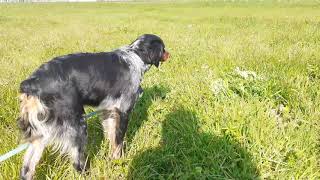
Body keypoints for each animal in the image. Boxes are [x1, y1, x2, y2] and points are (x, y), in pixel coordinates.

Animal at [17, 33, 170, 179]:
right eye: (163, 48)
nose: (169, 53)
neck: (136, 56)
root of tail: (32, 83)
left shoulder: (108, 111)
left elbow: (112, 137)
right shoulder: (123, 111)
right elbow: (119, 140)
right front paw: (119, 159)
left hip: (41, 134)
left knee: (27, 169)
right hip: (77, 125)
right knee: (77, 162)